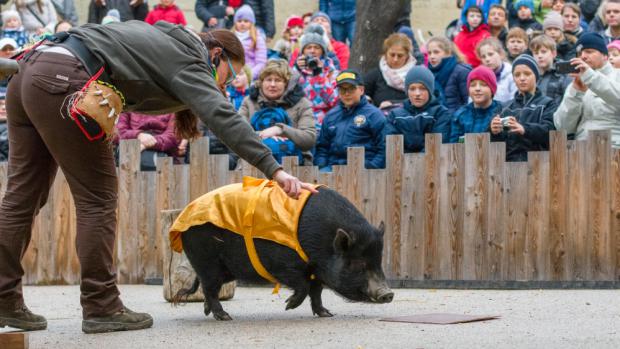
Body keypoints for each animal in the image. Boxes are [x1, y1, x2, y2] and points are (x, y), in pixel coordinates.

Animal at [168, 177, 392, 320]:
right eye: (358, 263)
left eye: (379, 261)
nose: (388, 294)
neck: (324, 242)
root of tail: (182, 219)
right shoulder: (284, 264)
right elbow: (303, 286)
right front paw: (288, 305)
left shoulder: (316, 270)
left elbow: (317, 291)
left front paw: (326, 314)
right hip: (206, 260)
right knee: (209, 288)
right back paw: (225, 317)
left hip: (224, 270)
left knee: (208, 289)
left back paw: (209, 312)